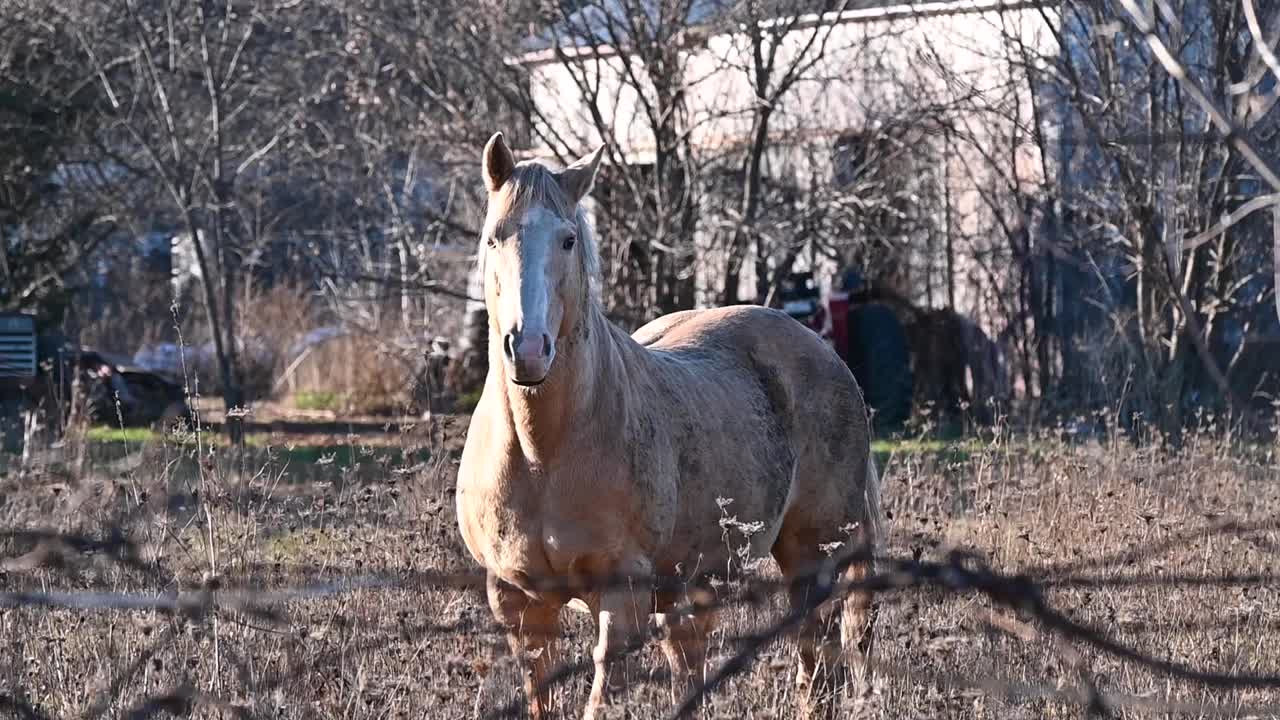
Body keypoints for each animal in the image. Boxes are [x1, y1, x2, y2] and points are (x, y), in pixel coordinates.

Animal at [455, 130, 885, 717]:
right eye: (494, 238)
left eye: (568, 240)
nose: (528, 349)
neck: (544, 453)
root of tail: (827, 354)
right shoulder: (518, 604)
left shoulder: (622, 599)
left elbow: (603, 695)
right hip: (693, 585)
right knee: (697, 668)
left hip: (809, 558)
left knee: (816, 666)